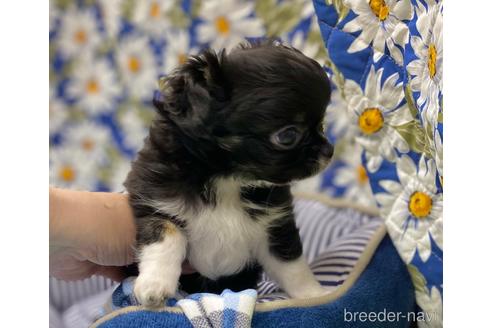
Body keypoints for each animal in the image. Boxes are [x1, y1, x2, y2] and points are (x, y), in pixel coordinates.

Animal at [124, 41, 334, 308]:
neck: (228, 179)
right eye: (288, 136)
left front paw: (313, 294)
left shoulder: (274, 225)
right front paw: (154, 286)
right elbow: (166, 238)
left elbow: (291, 264)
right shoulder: (155, 201)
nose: (330, 151)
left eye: (322, 125)